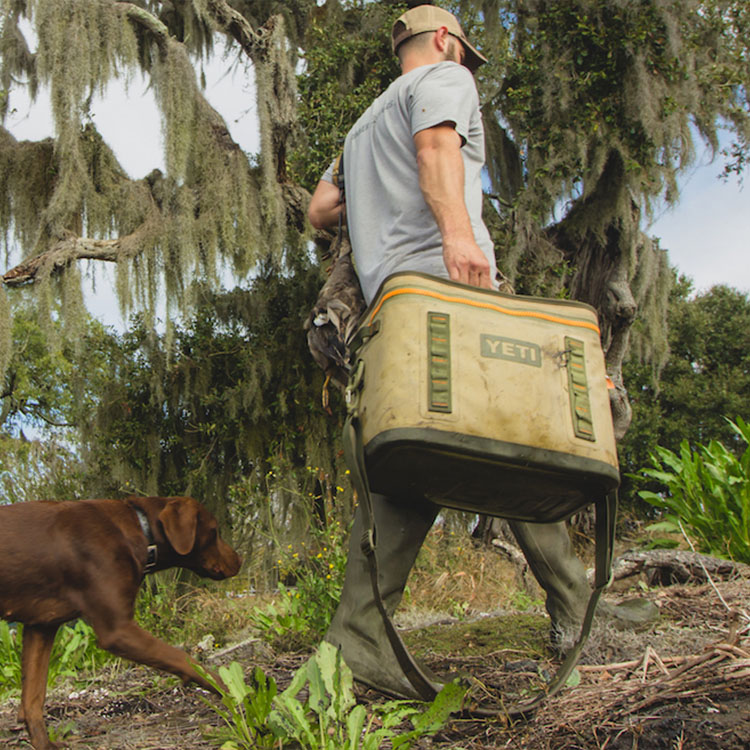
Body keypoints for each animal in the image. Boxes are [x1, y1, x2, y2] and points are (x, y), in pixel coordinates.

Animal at [0, 496, 241, 748]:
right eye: (214, 531)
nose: (240, 559)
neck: (140, 528)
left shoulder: (40, 626)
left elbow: (33, 697)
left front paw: (44, 744)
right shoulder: (117, 630)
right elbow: (184, 659)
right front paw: (229, 690)